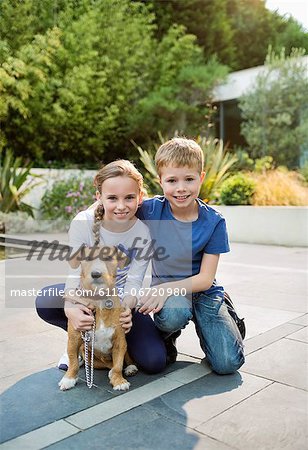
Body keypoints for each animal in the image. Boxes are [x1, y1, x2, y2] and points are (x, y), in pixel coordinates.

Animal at [58, 246, 137, 390]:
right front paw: (69, 378)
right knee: (106, 365)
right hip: (89, 355)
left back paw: (130, 368)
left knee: (123, 361)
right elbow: (73, 361)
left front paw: (119, 381)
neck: (99, 302)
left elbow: (118, 364)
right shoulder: (74, 339)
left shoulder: (120, 341)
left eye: (108, 258)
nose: (96, 274)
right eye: (87, 258)